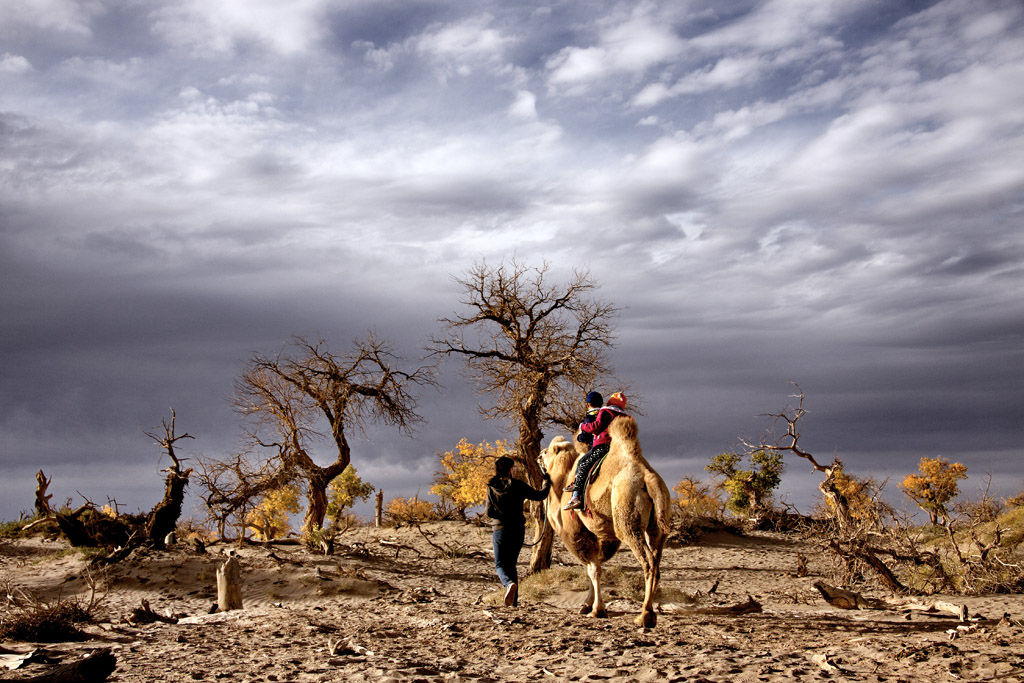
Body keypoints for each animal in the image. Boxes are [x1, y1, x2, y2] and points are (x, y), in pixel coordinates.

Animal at [536, 413, 671, 626]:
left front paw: (596, 610)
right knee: (657, 560)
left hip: (627, 520)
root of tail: (648, 477)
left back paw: (645, 615)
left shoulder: (577, 532)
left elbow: (593, 569)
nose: (538, 455)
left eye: (548, 451)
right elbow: (596, 566)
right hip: (656, 527)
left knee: (648, 562)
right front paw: (587, 605)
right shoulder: (601, 534)